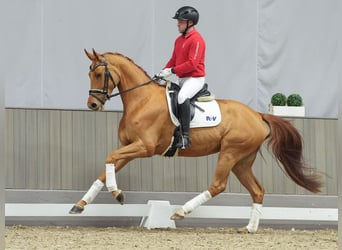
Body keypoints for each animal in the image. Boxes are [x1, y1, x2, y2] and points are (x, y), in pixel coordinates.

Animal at [69, 48, 320, 232]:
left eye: (98, 74)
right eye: (89, 73)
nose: (92, 104)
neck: (142, 100)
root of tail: (258, 115)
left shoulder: (144, 147)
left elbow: (109, 158)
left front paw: (117, 194)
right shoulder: (128, 147)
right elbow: (106, 167)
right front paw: (80, 205)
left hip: (230, 153)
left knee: (218, 185)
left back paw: (181, 211)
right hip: (242, 161)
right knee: (257, 190)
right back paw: (249, 228)